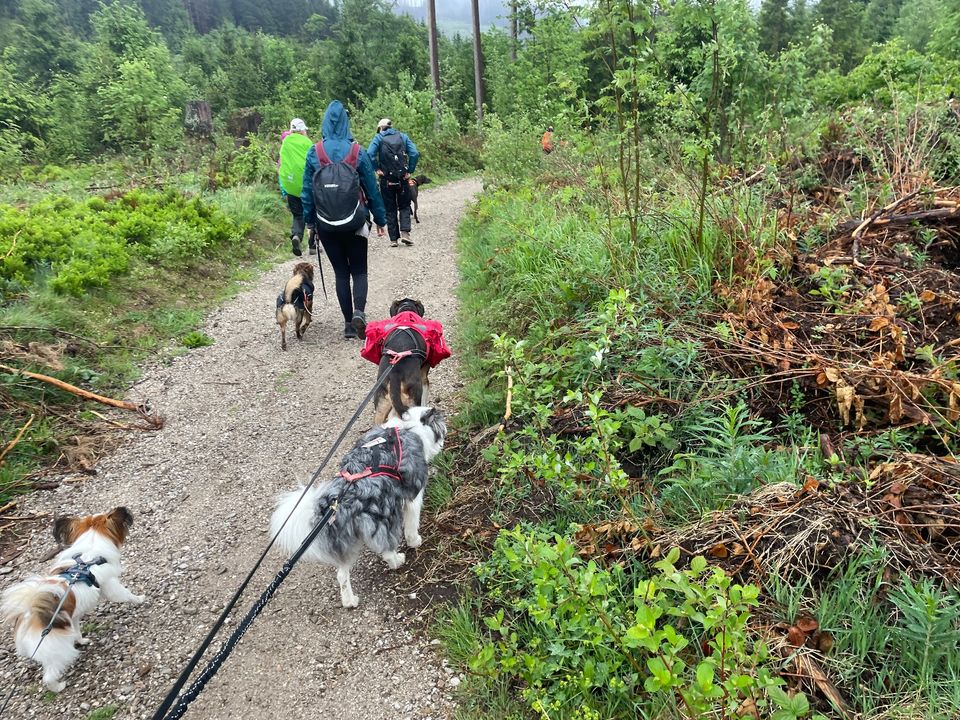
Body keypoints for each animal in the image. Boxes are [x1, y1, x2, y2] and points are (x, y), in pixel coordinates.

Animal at [0, 506, 142, 692]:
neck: (89, 555)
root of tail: (29, 616)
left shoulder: (72, 617)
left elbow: (76, 630)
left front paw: (81, 640)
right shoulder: (111, 586)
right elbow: (126, 594)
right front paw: (140, 598)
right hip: (59, 650)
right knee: (49, 675)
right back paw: (58, 686)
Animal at [272, 408, 448, 604]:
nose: (443, 440)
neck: (408, 426)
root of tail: (337, 503)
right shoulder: (413, 497)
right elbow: (411, 525)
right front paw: (415, 541)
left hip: (348, 541)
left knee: (341, 574)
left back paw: (350, 601)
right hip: (384, 522)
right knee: (387, 551)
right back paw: (397, 560)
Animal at [302, 99, 388, 344]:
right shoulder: (365, 161)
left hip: (332, 239)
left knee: (342, 277)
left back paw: (352, 324)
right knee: (357, 274)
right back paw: (358, 322)